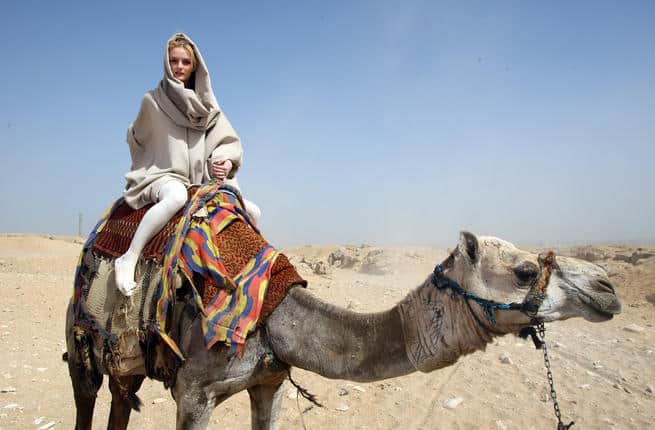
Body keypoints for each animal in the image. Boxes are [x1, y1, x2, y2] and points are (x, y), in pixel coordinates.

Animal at [64, 232, 624, 430]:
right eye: (525, 271)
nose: (607, 288)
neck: (274, 319)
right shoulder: (194, 391)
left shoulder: (269, 382)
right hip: (80, 345)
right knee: (87, 397)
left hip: (128, 361)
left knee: (120, 400)